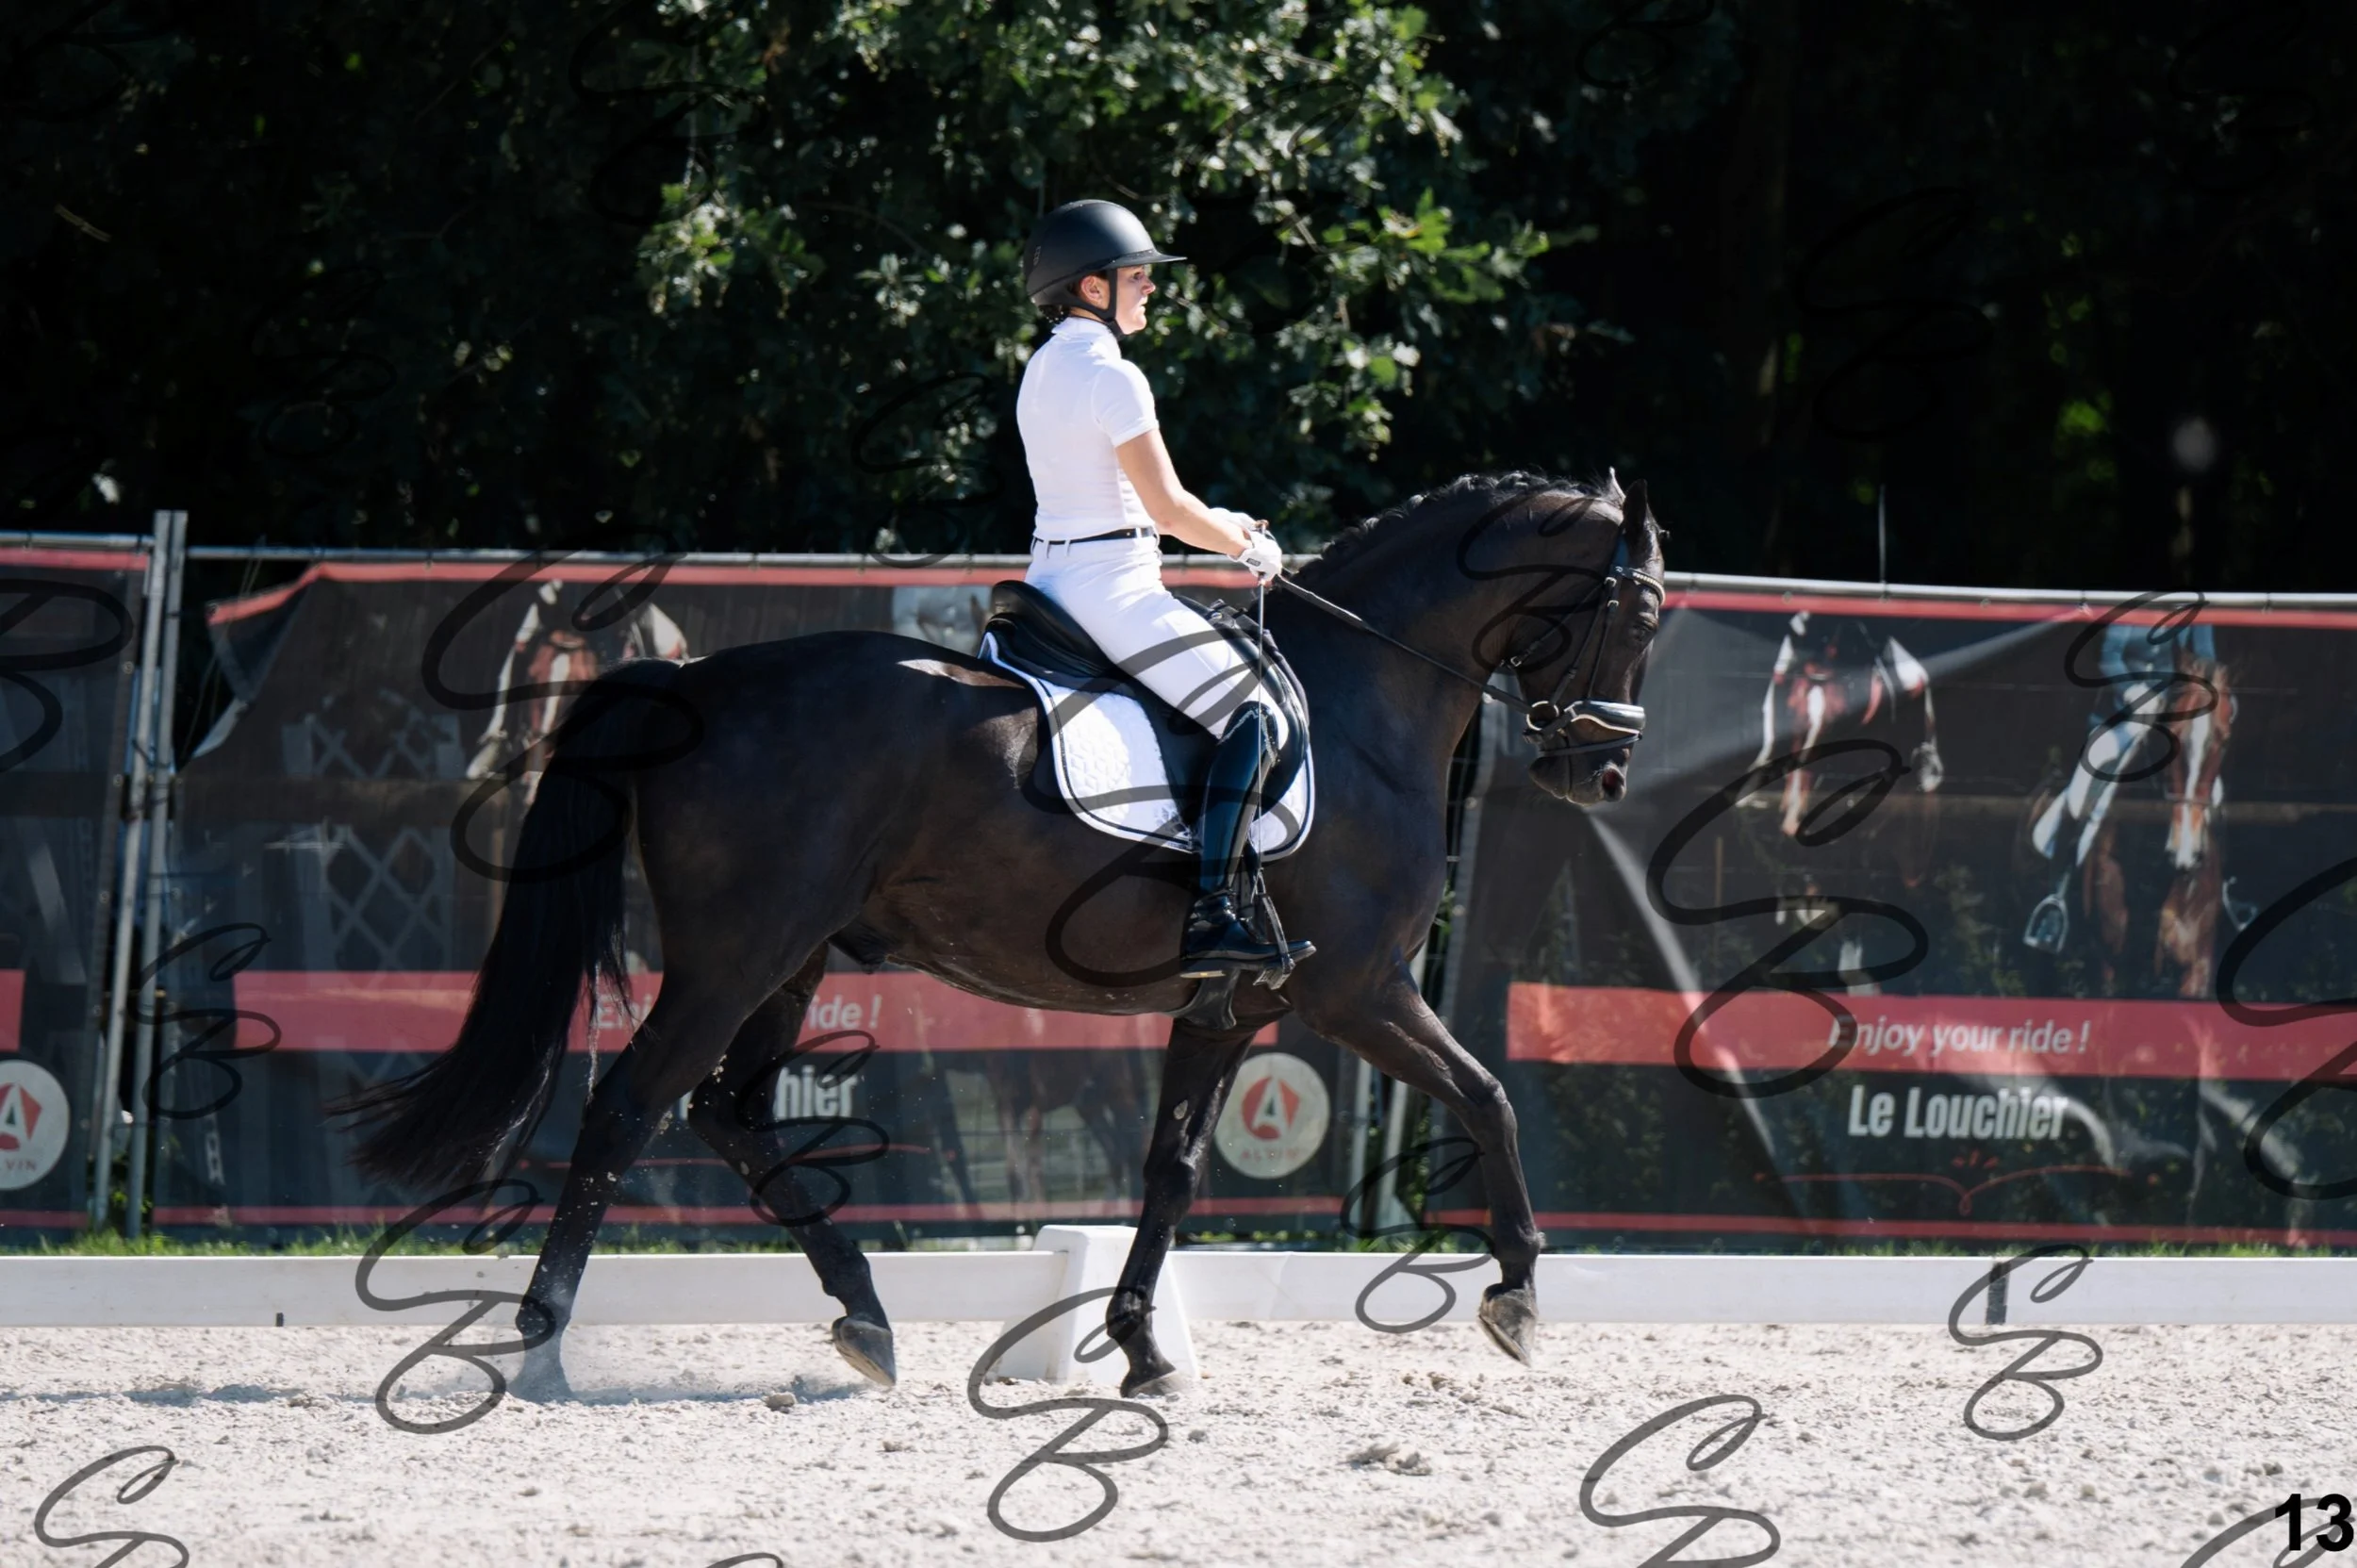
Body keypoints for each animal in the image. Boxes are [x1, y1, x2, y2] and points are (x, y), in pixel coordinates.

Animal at [340, 470, 1667, 1399]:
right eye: (1643, 613)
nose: (1598, 771)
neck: (1356, 708)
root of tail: (691, 683)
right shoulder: (1359, 989)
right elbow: (1488, 1094)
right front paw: (1518, 1299)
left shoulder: (1234, 1004)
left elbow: (1173, 1168)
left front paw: (1141, 1350)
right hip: (737, 953)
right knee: (630, 1107)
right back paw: (543, 1349)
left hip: (793, 956)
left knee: (730, 1112)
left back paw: (866, 1322)